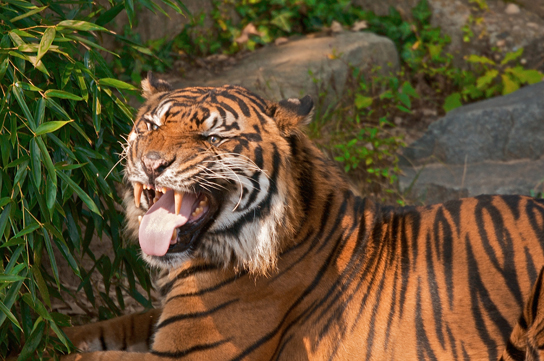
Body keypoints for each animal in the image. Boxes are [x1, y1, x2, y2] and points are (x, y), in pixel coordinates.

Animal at [61, 73, 544, 360]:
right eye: (150, 126)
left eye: (213, 138)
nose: (151, 163)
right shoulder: (161, 317)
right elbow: (104, 327)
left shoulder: (191, 352)